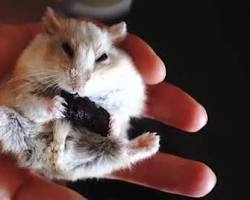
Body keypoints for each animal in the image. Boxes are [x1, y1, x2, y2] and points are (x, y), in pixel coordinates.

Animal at [0, 7, 160, 180]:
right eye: (66, 48)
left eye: (102, 57)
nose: (77, 88)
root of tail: (54, 165)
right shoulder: (23, 88)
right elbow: (34, 104)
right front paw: (60, 106)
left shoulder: (128, 94)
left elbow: (121, 113)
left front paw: (112, 123)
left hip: (99, 158)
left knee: (122, 153)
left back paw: (153, 140)